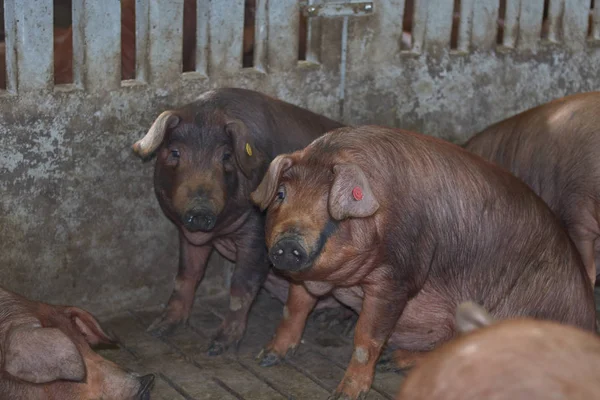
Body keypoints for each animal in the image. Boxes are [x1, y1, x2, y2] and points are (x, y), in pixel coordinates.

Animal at [131, 87, 346, 356]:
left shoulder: (258, 234)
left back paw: (332, 322)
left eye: (226, 156)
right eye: (174, 152)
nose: (200, 209)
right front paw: (158, 329)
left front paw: (217, 347)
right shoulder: (189, 233)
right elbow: (186, 275)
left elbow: (242, 285)